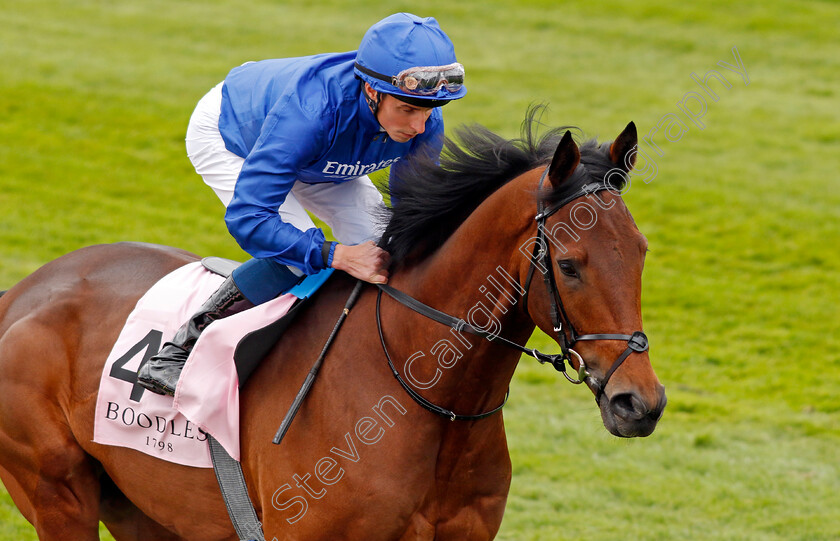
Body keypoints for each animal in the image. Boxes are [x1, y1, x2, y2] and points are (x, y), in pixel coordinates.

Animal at [0, 112, 668, 536]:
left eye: (641, 252)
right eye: (570, 264)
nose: (640, 403)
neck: (430, 399)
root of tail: (24, 293)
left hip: (145, 510)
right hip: (57, 494)